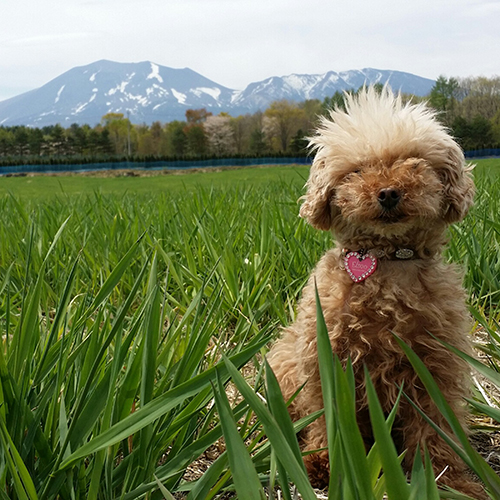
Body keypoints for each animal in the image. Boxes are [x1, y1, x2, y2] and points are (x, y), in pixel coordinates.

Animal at [268, 88, 486, 498]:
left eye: (413, 163)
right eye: (356, 171)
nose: (387, 193)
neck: (387, 259)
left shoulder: (435, 364)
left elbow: (436, 426)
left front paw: (446, 480)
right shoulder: (327, 359)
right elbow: (328, 416)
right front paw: (326, 464)